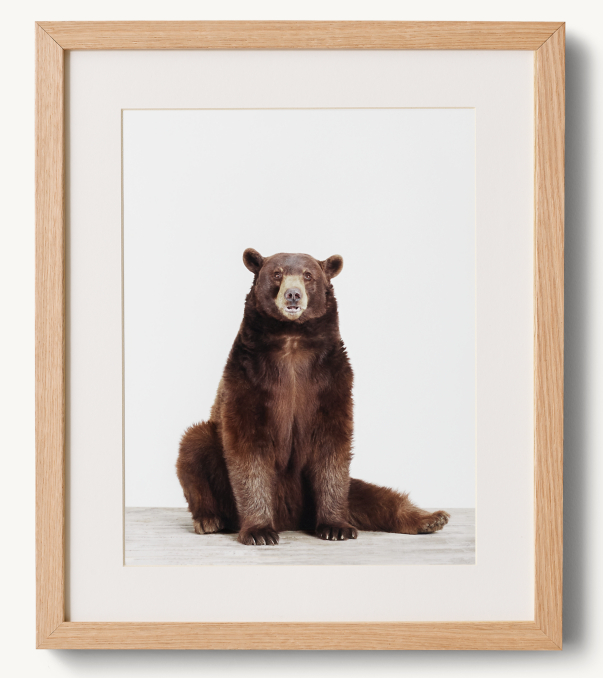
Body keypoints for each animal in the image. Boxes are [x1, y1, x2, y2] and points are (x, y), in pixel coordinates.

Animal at [176, 249, 450, 545]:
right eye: (277, 274)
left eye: (308, 275)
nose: (293, 294)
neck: (292, 339)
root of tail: (292, 519)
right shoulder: (247, 378)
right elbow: (247, 450)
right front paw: (260, 531)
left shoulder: (331, 381)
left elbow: (333, 450)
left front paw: (336, 527)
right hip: (212, 453)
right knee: (194, 445)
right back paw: (209, 519)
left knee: (375, 496)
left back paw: (431, 518)